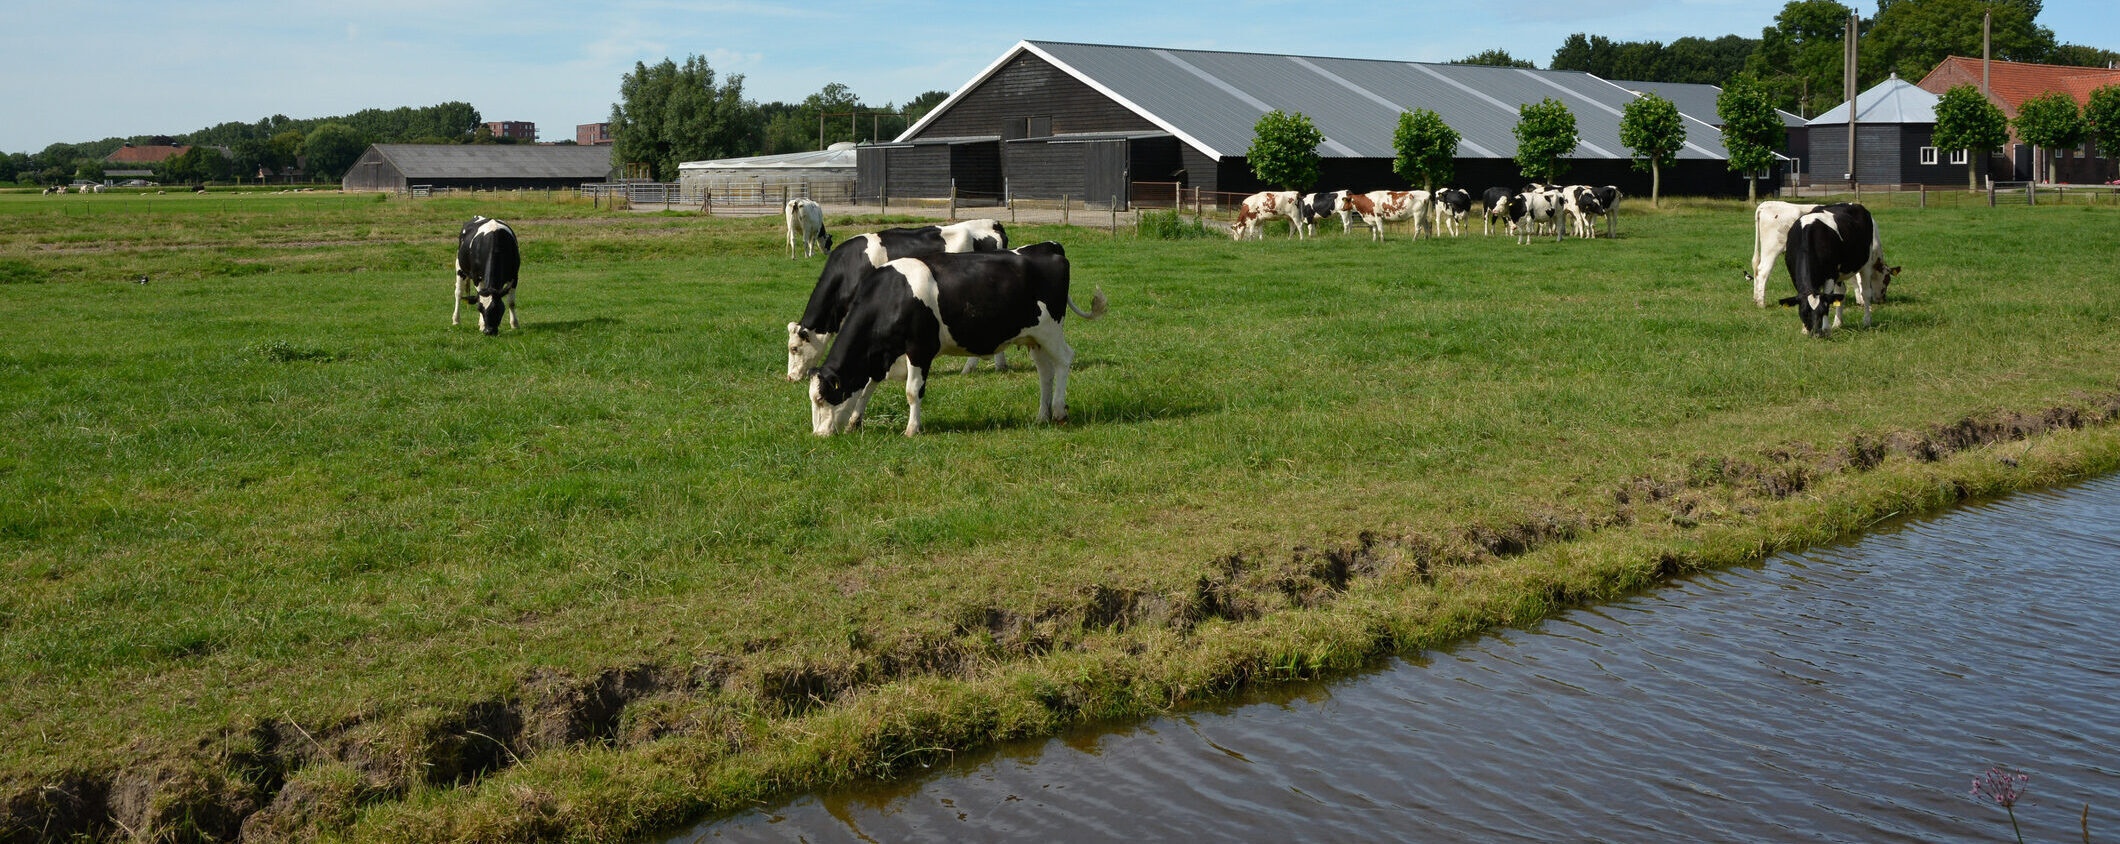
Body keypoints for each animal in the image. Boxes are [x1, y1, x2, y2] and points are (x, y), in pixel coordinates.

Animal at [805, 238, 1110, 432]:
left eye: (821, 399)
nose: (819, 435)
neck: (893, 294)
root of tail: (1049, 248)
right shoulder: (882, 353)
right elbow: (868, 385)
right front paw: (855, 421)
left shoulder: (920, 348)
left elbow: (912, 391)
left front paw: (912, 428)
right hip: (1033, 337)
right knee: (1045, 372)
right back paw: (1041, 416)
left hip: (1051, 330)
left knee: (1064, 360)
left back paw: (1058, 411)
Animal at [1780, 202, 1899, 337]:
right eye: (1804, 312)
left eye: (1823, 311)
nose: (1816, 334)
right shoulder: (1794, 276)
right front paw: (1804, 330)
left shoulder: (1830, 275)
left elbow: (1829, 298)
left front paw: (1826, 329)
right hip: (1840, 273)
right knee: (1841, 292)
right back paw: (1838, 323)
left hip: (1866, 264)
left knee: (1866, 293)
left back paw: (1866, 320)